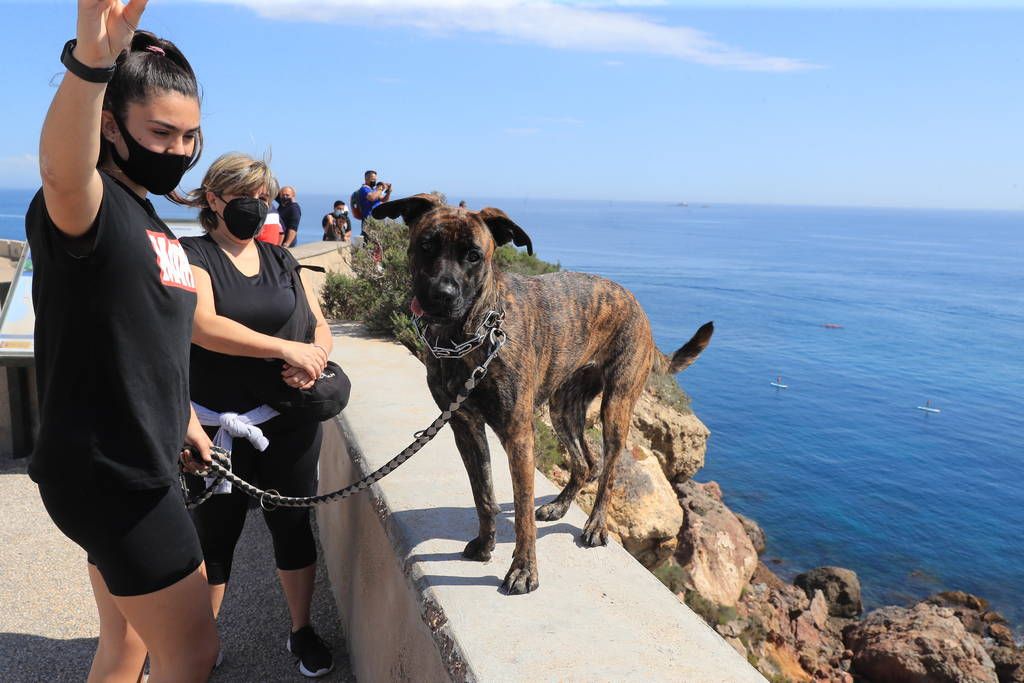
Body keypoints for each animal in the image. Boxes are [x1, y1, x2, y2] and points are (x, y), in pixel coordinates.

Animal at [372, 194, 716, 593]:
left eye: (474, 255)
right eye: (427, 245)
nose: (441, 296)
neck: (467, 336)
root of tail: (637, 306)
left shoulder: (519, 434)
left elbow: (521, 508)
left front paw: (524, 570)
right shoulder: (465, 427)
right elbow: (483, 495)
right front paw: (485, 544)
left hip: (616, 406)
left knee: (608, 468)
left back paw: (595, 525)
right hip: (563, 408)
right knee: (586, 463)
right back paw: (559, 506)